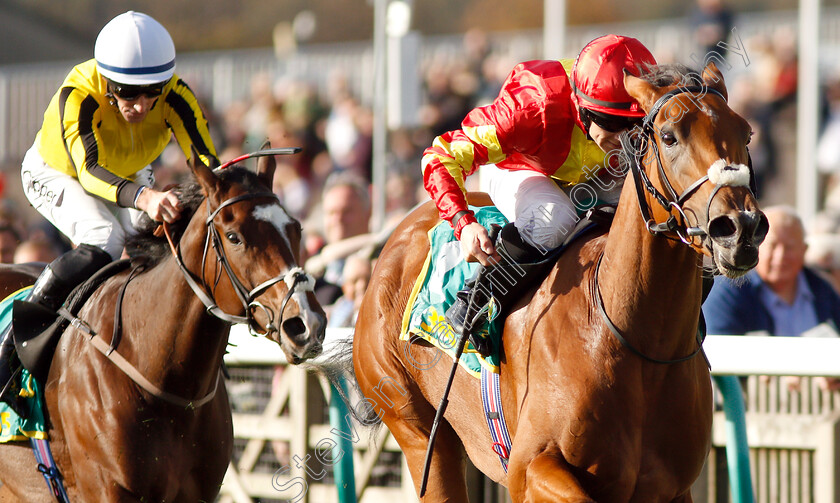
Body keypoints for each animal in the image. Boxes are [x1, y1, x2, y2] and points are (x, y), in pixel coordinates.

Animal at [352, 62, 768, 500]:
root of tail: (399, 234)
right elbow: (448, 148)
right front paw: (474, 237)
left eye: (746, 133)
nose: (740, 227)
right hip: (419, 433)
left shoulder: (672, 488)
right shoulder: (530, 469)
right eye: (669, 137)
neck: (634, 341)